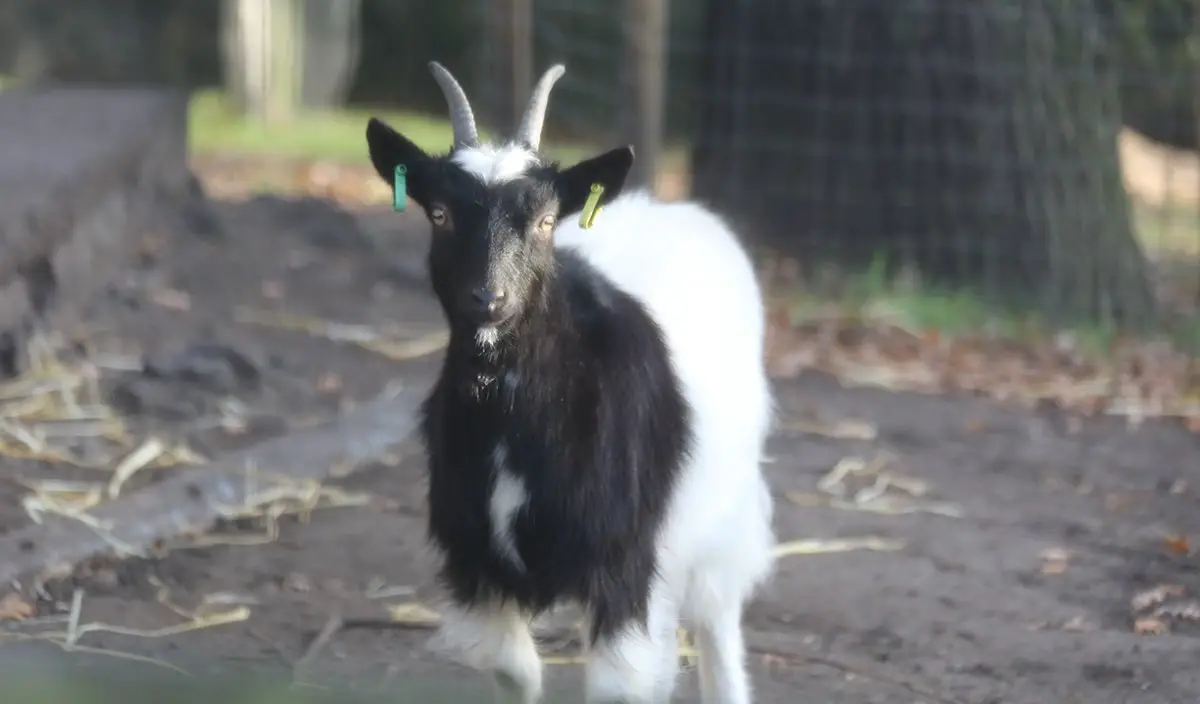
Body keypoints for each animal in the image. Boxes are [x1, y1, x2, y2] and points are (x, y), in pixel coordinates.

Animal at [364, 62, 777, 704]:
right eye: (439, 213)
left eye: (544, 221)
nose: (488, 299)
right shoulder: (479, 562)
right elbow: (516, 673)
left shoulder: (622, 562)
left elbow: (617, 685)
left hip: (721, 511)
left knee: (717, 616)